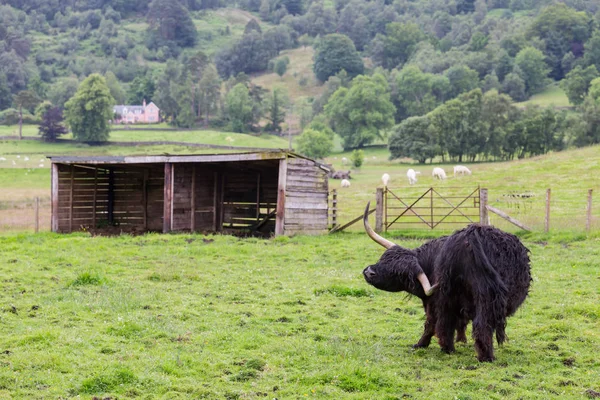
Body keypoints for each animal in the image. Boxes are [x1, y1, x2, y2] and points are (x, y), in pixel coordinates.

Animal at [364, 203, 532, 362]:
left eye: (400, 273)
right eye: (384, 258)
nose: (368, 272)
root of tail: (471, 234)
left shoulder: (435, 300)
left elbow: (436, 323)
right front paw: (459, 341)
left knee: (455, 323)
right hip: (482, 295)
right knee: (478, 324)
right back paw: (482, 355)